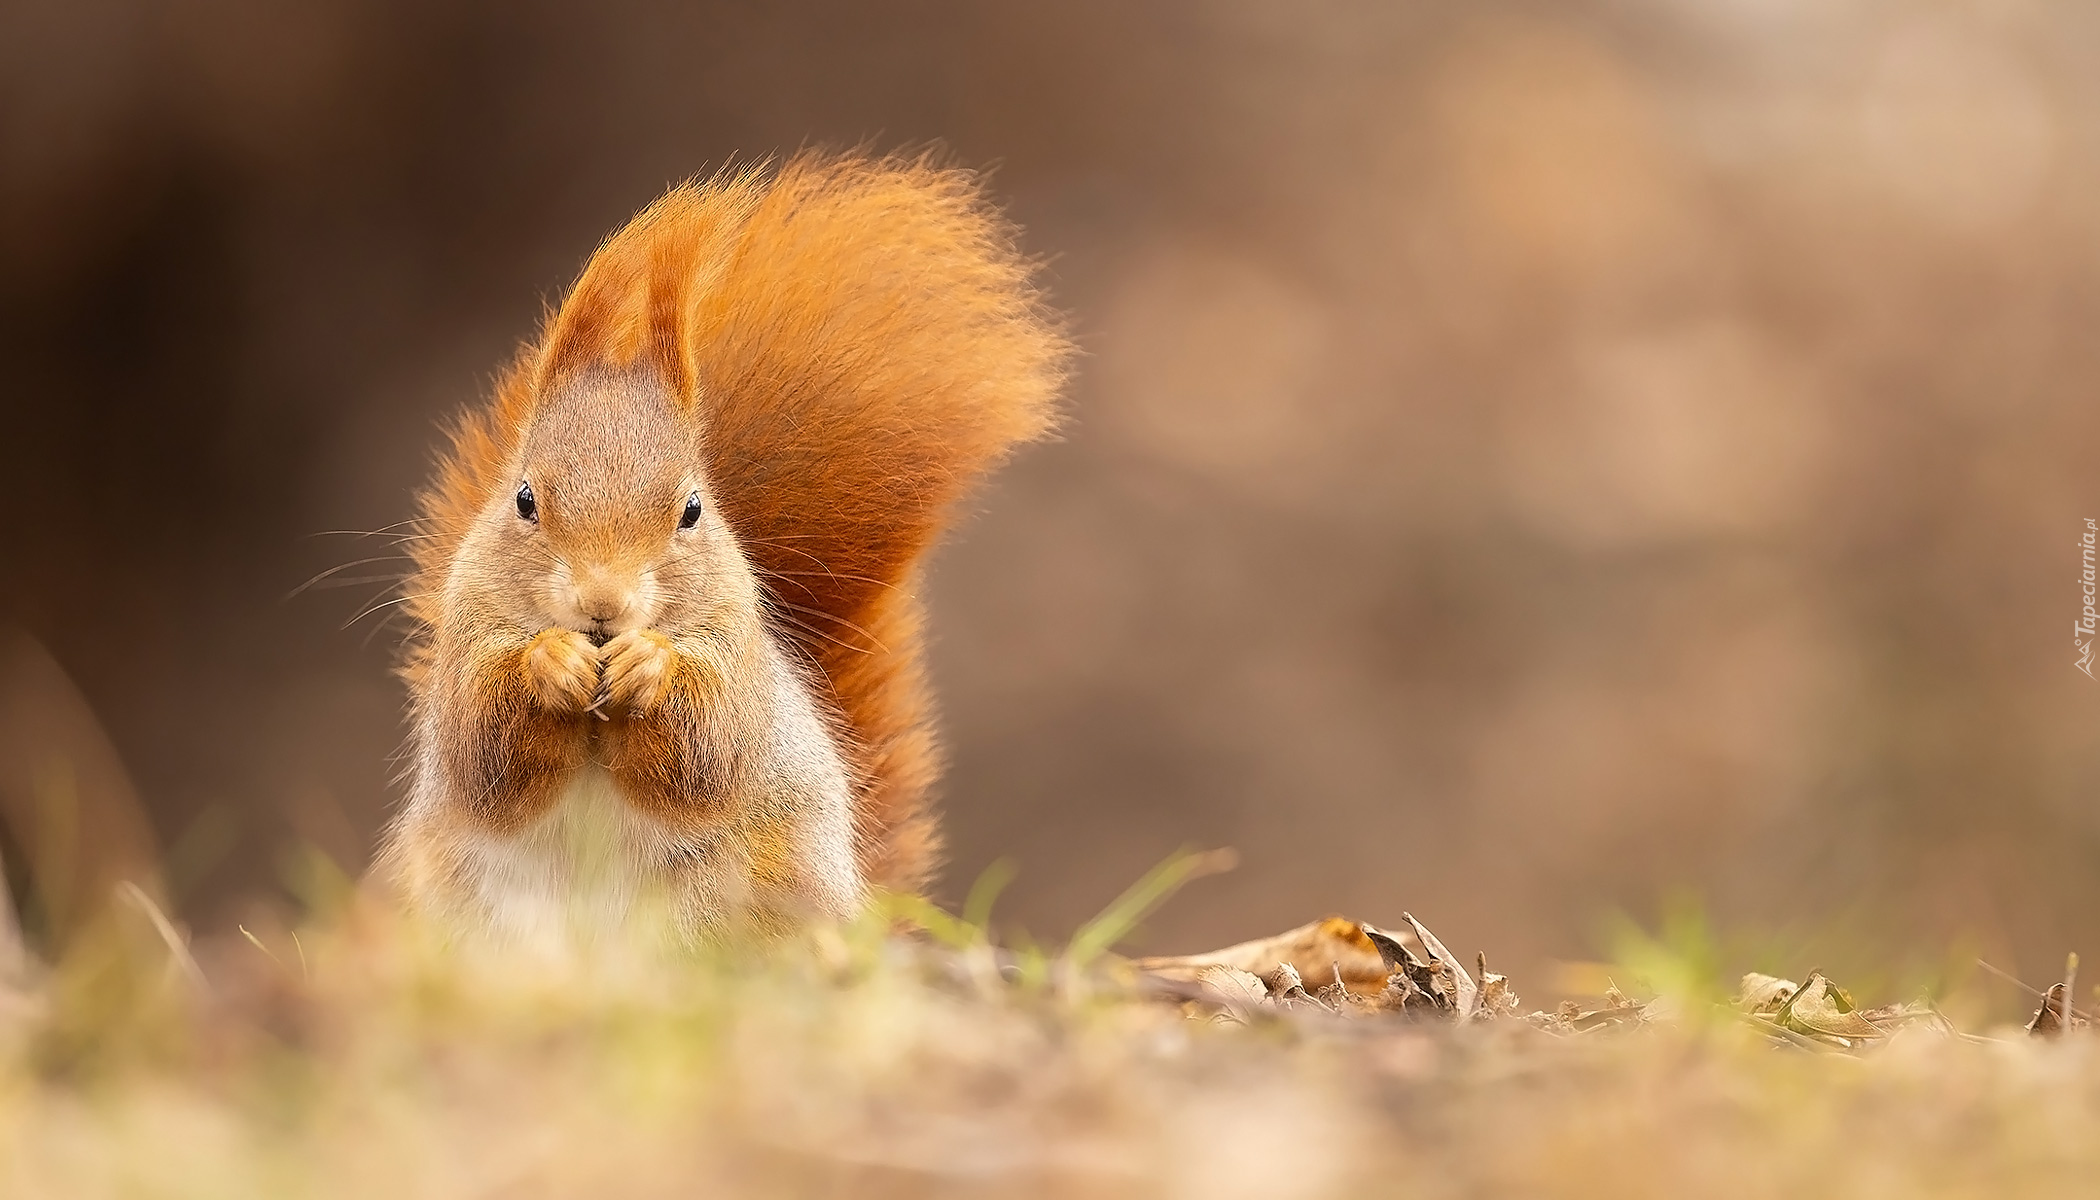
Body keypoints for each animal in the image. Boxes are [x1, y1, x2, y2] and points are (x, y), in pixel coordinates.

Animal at [369, 154, 1075, 954]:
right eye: (523, 498)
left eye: (692, 510)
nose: (603, 605)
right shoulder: (466, 643)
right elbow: (484, 750)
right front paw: (550, 661)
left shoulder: (736, 657)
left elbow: (707, 753)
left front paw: (649, 666)